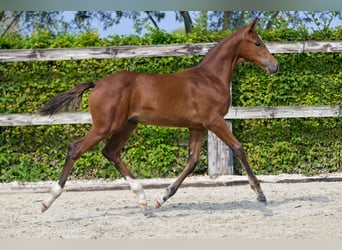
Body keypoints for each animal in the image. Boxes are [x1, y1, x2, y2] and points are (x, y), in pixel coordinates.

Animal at [39, 19, 278, 213]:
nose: (275, 66)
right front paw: (260, 193)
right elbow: (238, 148)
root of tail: (97, 84)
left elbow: (192, 161)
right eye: (257, 43)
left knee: (111, 151)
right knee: (76, 149)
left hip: (128, 124)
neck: (209, 78)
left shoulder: (197, 127)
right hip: (105, 125)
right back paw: (47, 200)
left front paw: (162, 198)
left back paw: (142, 199)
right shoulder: (214, 121)